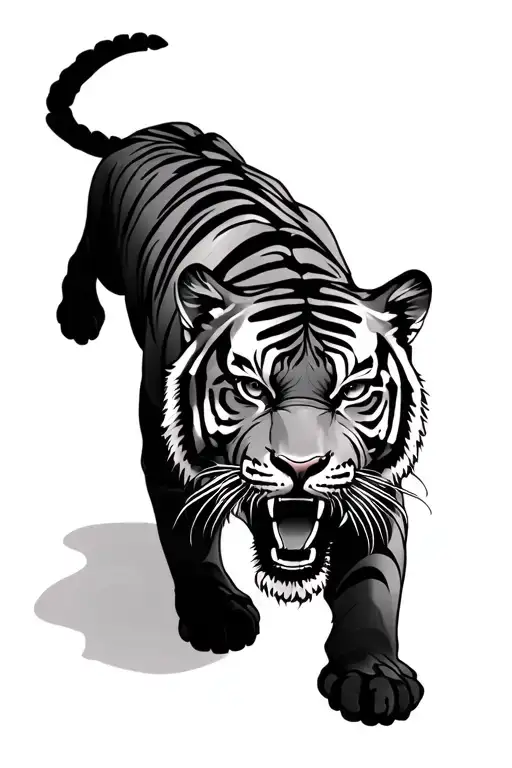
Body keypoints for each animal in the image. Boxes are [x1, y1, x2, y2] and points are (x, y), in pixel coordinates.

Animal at [48, 33, 431, 726]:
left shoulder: (378, 492)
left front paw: (372, 675)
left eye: (353, 391)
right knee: (81, 253)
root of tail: (143, 131)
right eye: (252, 388)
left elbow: (373, 582)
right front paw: (216, 615)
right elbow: (188, 536)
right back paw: (77, 317)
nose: (301, 467)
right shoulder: (168, 454)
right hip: (107, 253)